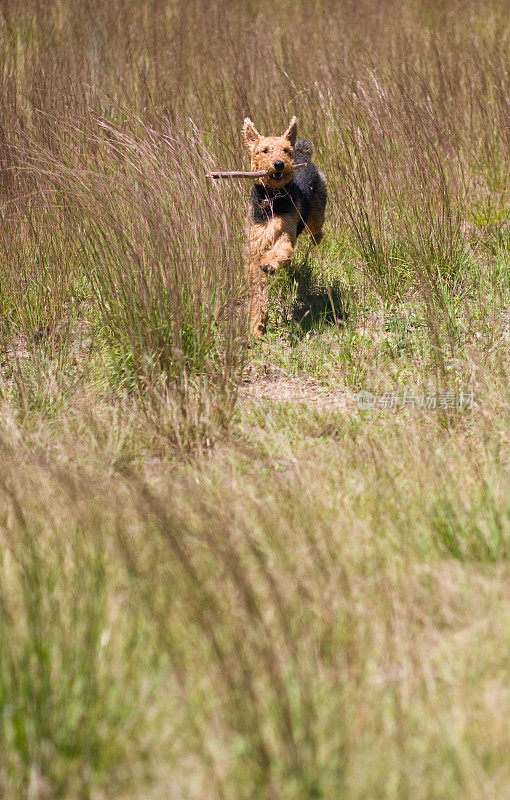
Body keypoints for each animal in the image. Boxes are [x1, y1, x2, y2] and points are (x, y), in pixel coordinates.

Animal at [243, 115, 326, 334]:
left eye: (285, 150)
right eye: (264, 150)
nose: (279, 164)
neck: (272, 198)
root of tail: (303, 154)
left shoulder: (285, 236)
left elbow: (280, 250)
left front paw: (269, 263)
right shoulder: (255, 245)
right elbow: (257, 289)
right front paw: (256, 326)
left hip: (317, 214)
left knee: (317, 231)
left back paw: (315, 241)